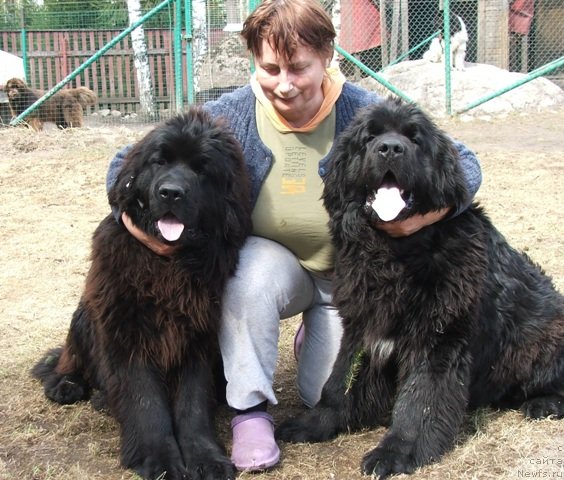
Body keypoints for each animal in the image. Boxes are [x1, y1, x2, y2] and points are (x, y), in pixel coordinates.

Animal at [31, 109, 251, 480]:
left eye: (202, 169)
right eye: (159, 161)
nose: (171, 193)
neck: (167, 264)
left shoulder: (196, 338)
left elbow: (192, 405)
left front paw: (206, 457)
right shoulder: (126, 334)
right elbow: (145, 402)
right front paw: (159, 460)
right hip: (84, 315)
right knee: (67, 358)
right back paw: (67, 384)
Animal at [278, 99, 564, 478]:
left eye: (414, 139)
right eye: (370, 137)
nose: (390, 148)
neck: (394, 253)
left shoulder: (438, 337)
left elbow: (419, 401)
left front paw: (395, 452)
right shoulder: (362, 325)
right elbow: (338, 381)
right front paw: (314, 422)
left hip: (545, 335)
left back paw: (544, 403)